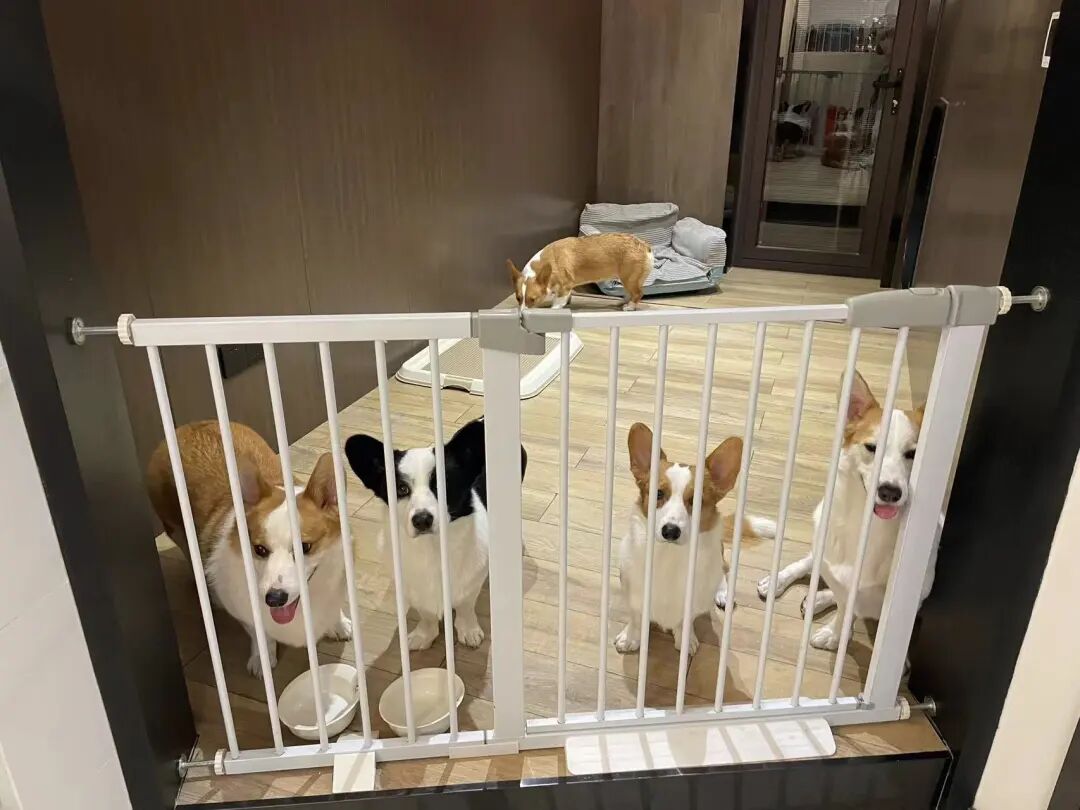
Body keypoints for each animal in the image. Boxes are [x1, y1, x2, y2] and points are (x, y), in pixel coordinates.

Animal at [147, 421, 349, 677]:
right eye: (259, 549)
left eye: (305, 547)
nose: (273, 599)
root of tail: (189, 426)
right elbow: (259, 632)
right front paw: (262, 660)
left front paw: (339, 624)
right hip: (176, 529)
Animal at [345, 418, 527, 651]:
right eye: (402, 489)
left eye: (444, 486)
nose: (422, 519)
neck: (431, 547)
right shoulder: (415, 590)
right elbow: (427, 613)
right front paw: (424, 635)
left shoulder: (470, 584)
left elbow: (466, 606)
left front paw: (469, 631)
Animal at [508, 232, 652, 312]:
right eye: (518, 298)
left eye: (533, 299)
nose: (521, 315)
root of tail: (646, 246)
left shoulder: (565, 286)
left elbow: (558, 302)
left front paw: (554, 309)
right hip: (626, 279)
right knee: (629, 293)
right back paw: (623, 302)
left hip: (629, 278)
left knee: (638, 293)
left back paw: (630, 306)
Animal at [615, 423, 776, 656]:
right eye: (658, 494)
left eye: (697, 501)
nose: (670, 531)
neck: (670, 558)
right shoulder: (634, 594)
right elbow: (636, 618)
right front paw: (631, 638)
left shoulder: (692, 605)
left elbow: (685, 622)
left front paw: (685, 640)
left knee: (724, 568)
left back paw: (722, 592)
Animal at [756, 371, 929, 651]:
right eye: (871, 448)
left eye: (913, 453)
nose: (890, 492)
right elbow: (843, 604)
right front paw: (835, 631)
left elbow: (849, 607)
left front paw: (835, 632)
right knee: (810, 563)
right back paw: (777, 581)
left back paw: (817, 599)